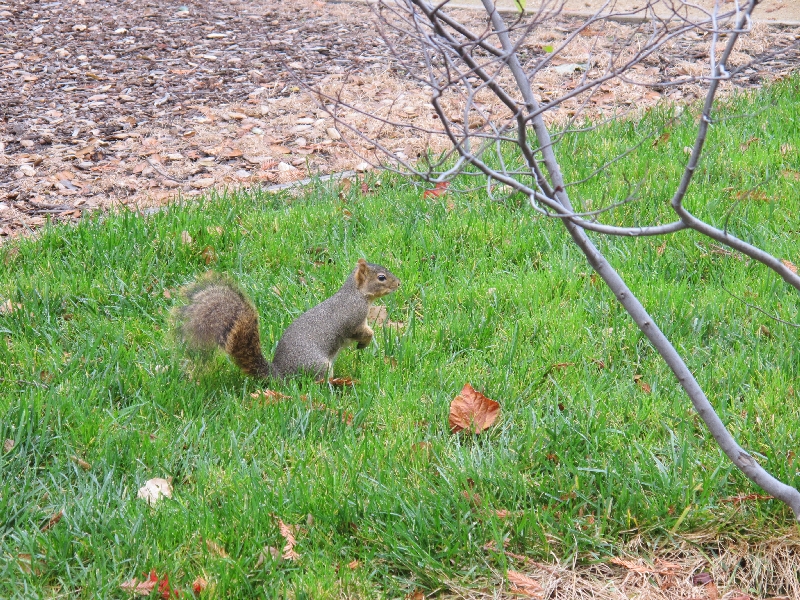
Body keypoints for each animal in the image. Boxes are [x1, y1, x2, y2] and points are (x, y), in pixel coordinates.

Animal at [175, 258, 401, 380]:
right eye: (381, 278)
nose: (398, 283)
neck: (355, 294)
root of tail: (279, 374)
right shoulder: (353, 319)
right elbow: (364, 331)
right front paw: (365, 342)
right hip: (318, 365)